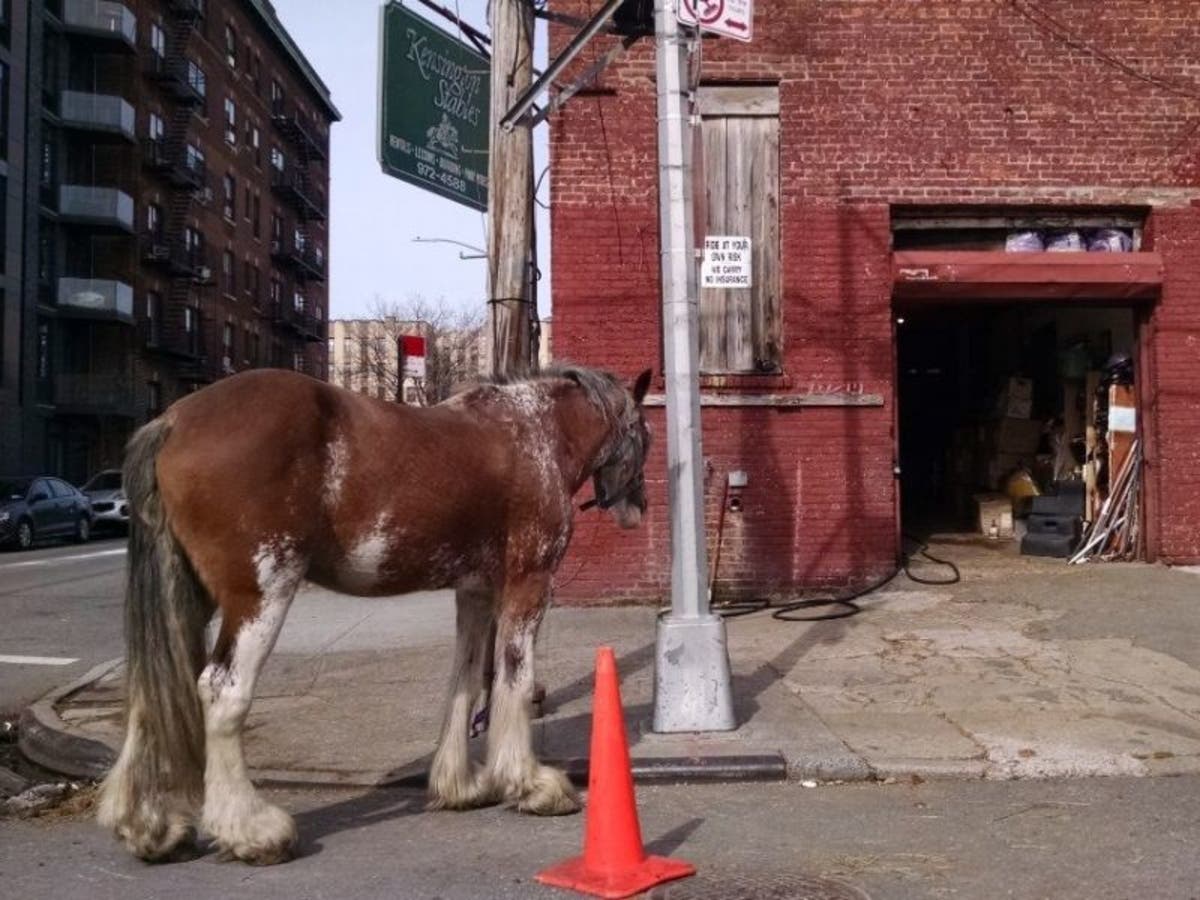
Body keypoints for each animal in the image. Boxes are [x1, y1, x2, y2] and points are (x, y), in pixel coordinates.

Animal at [97, 364, 652, 868]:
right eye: (643, 433)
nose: (639, 508)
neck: (533, 432)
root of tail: (172, 421)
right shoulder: (527, 583)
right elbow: (514, 678)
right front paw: (532, 785)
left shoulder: (474, 593)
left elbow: (467, 680)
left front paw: (459, 786)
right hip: (262, 594)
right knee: (221, 691)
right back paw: (252, 831)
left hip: (190, 596)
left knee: (150, 689)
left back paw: (150, 828)